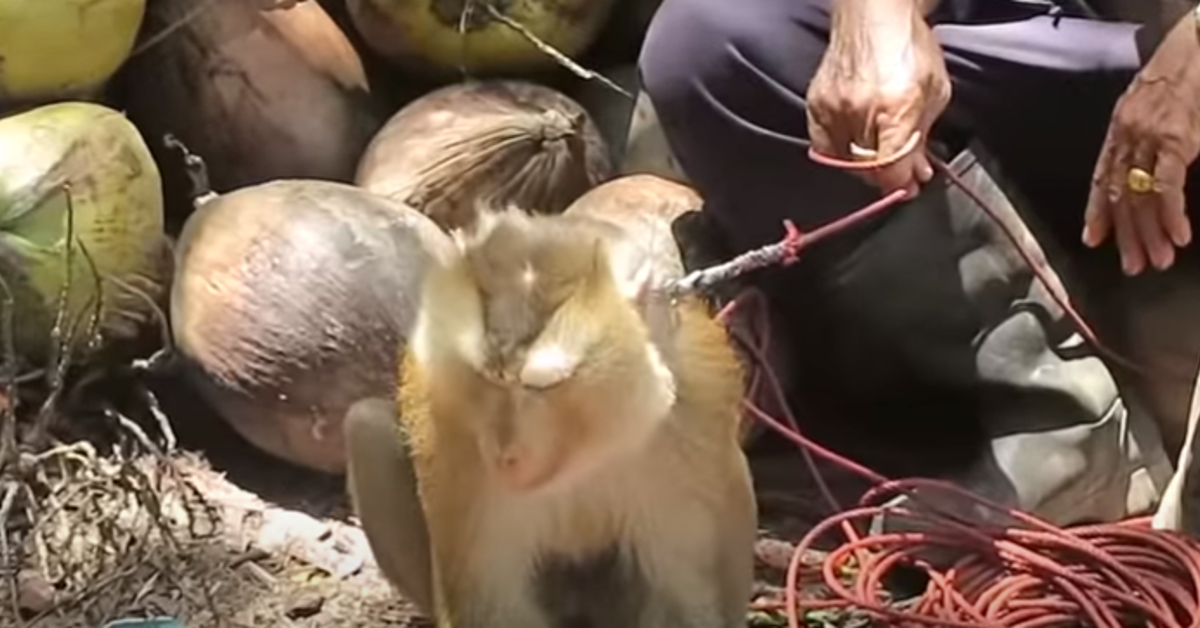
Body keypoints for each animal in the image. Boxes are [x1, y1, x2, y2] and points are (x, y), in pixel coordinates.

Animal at [345, 208, 757, 628]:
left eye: (540, 386)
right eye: (490, 378)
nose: (504, 453)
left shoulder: (686, 439)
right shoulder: (455, 445)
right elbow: (492, 609)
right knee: (365, 426)